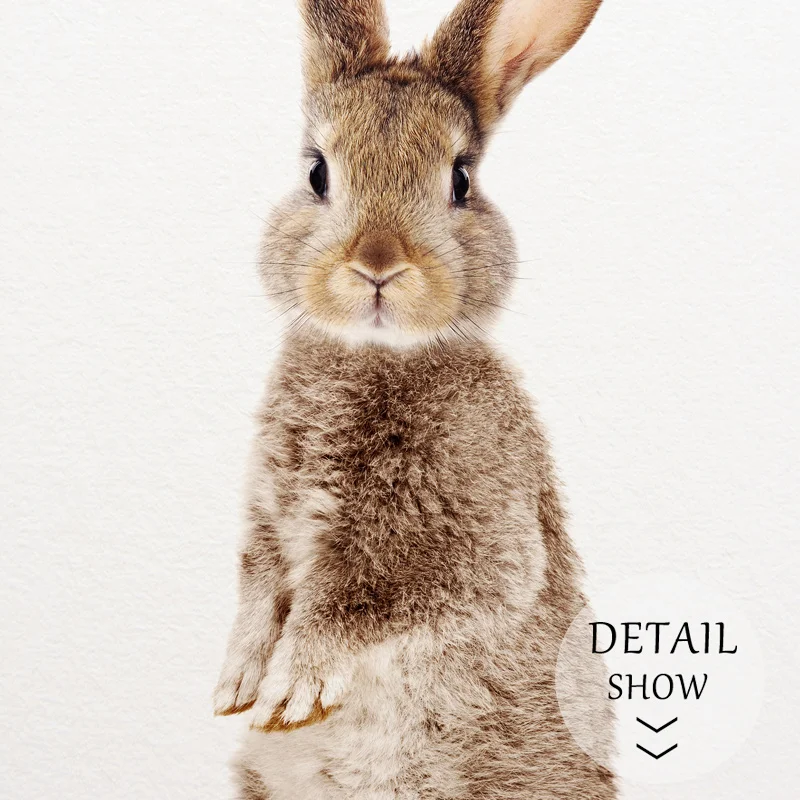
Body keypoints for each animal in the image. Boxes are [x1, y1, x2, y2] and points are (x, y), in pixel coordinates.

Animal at [213, 0, 616, 798]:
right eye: (316, 172)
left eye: (460, 180)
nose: (377, 264)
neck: (370, 357)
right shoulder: (267, 522)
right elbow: (259, 586)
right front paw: (238, 682)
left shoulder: (469, 547)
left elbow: (360, 600)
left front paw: (292, 688)